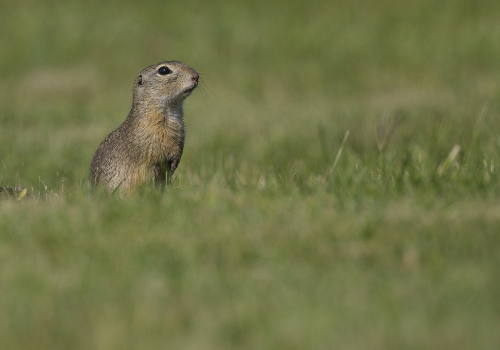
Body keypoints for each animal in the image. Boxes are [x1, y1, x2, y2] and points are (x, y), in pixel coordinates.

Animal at [89, 60, 198, 191]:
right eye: (164, 70)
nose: (196, 76)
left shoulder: (180, 134)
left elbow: (178, 149)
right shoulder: (153, 137)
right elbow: (159, 151)